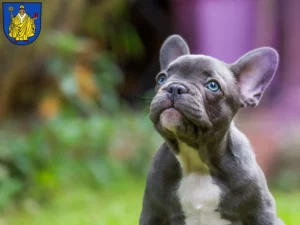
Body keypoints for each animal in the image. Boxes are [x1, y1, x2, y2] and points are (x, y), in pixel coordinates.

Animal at [139, 34, 284, 225]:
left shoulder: (262, 214)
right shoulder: (152, 213)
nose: (174, 87)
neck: (196, 162)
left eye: (213, 86)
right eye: (161, 78)